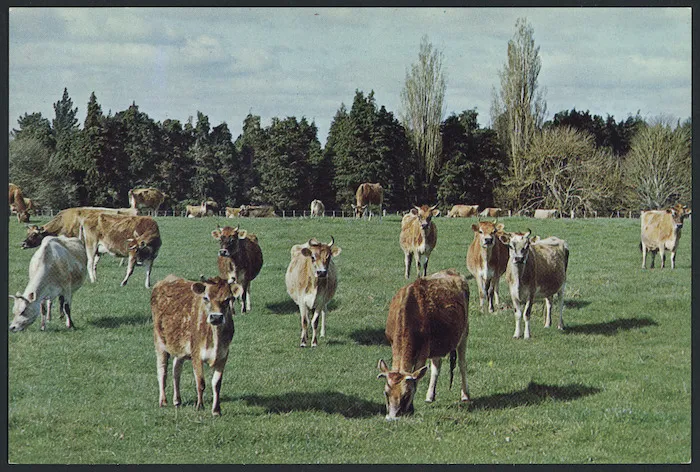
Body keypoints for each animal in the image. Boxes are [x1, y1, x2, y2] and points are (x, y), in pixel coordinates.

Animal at [152, 274, 243, 416]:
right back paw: (163, 400)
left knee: (176, 370)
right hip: (159, 342)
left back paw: (177, 400)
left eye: (228, 299)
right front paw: (199, 406)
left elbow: (217, 384)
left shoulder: (223, 356)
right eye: (206, 298)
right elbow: (200, 382)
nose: (216, 317)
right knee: (162, 370)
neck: (215, 339)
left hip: (180, 348)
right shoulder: (196, 354)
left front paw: (216, 410)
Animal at [377, 269, 470, 420]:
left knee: (462, 364)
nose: (392, 418)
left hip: (464, 332)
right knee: (437, 366)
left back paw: (465, 394)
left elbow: (417, 376)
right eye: (386, 393)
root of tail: (451, 271)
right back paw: (430, 395)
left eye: (406, 395)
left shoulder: (424, 350)